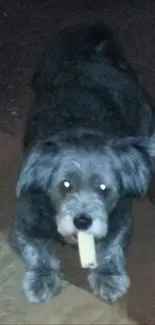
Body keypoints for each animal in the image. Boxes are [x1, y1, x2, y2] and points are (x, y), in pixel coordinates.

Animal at [10, 23, 155, 304]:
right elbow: (36, 250)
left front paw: (109, 275)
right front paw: (42, 277)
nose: (82, 221)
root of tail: (97, 55)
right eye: (65, 185)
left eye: (103, 189)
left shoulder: (120, 220)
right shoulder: (25, 223)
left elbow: (113, 248)